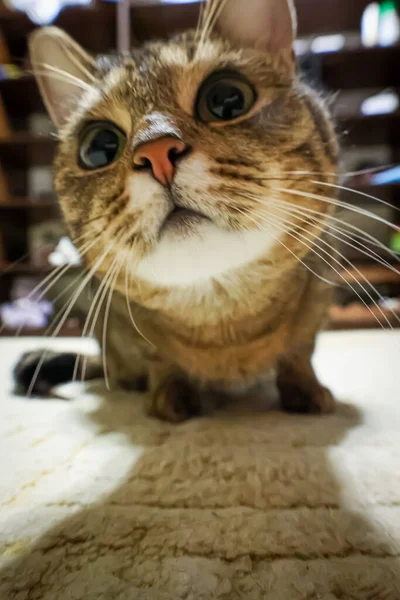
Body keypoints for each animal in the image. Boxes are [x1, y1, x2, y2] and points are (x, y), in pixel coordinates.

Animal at [15, 0, 340, 422]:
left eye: (227, 99)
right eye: (99, 146)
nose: (155, 152)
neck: (224, 324)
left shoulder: (318, 299)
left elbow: (300, 351)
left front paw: (305, 388)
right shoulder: (127, 321)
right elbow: (161, 361)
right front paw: (169, 395)